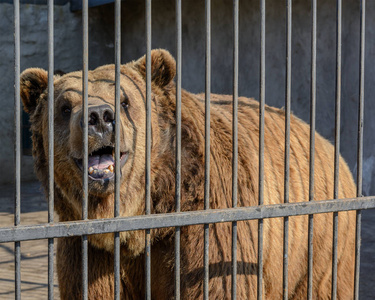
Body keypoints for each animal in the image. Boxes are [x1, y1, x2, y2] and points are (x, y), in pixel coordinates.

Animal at [20, 49, 356, 300]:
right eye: (65, 107)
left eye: (125, 101)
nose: (99, 117)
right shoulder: (90, 248)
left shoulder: (210, 221)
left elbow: (218, 283)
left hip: (318, 244)